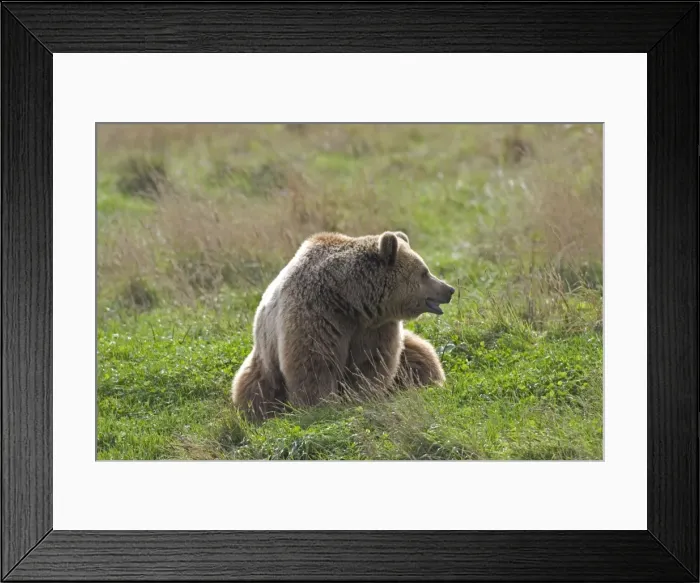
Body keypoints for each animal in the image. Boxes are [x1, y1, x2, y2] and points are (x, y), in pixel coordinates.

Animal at [231, 230, 455, 420]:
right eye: (424, 272)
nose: (449, 289)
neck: (349, 300)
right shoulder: (315, 315)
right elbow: (314, 364)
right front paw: (322, 405)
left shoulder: (376, 327)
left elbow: (371, 363)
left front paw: (362, 395)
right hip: (265, 363)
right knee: (254, 390)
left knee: (420, 354)